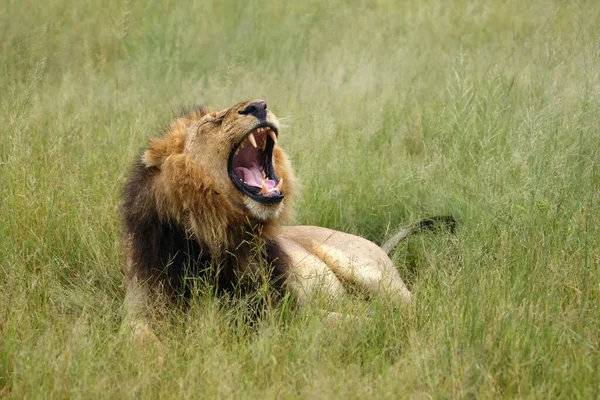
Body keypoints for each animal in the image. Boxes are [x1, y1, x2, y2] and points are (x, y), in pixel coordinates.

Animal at [119, 99, 452, 338]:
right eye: (215, 120)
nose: (258, 105)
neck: (215, 235)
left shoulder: (278, 309)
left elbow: (335, 321)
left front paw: (374, 321)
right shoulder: (142, 306)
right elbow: (135, 336)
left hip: (367, 270)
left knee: (414, 305)